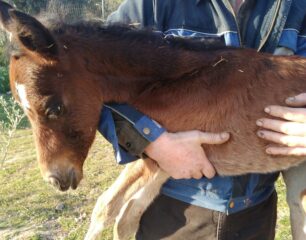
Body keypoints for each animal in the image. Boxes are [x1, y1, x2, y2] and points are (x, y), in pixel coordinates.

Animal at [1, 1, 306, 238]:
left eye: (54, 108)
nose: (57, 179)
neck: (181, 80)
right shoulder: (165, 157)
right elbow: (119, 214)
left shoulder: (162, 159)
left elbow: (113, 211)